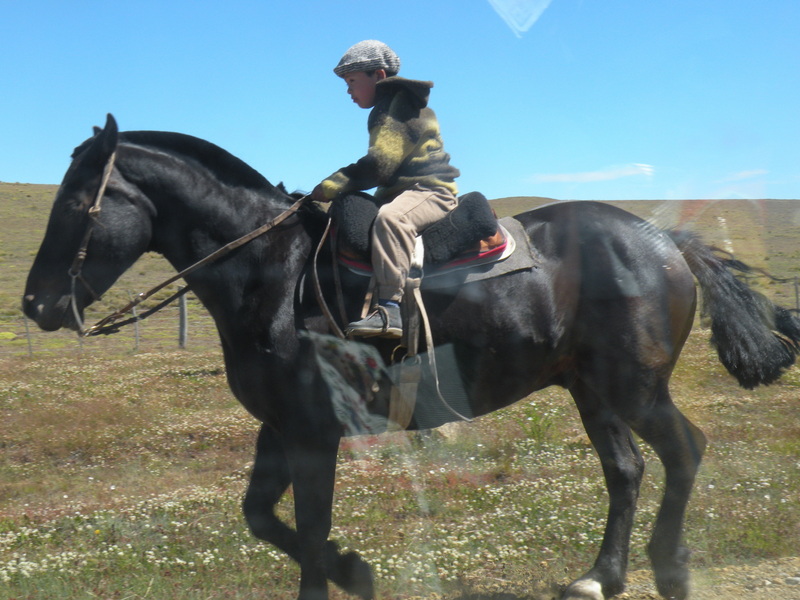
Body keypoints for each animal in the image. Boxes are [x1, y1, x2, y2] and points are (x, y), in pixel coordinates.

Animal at [21, 113, 796, 600]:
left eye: (80, 202)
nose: (35, 305)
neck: (273, 270)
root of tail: (667, 242)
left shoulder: (314, 434)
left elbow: (309, 528)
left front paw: (338, 574)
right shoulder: (281, 426)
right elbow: (261, 517)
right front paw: (355, 571)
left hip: (634, 387)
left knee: (684, 450)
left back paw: (669, 569)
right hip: (590, 389)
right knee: (626, 471)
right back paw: (599, 577)